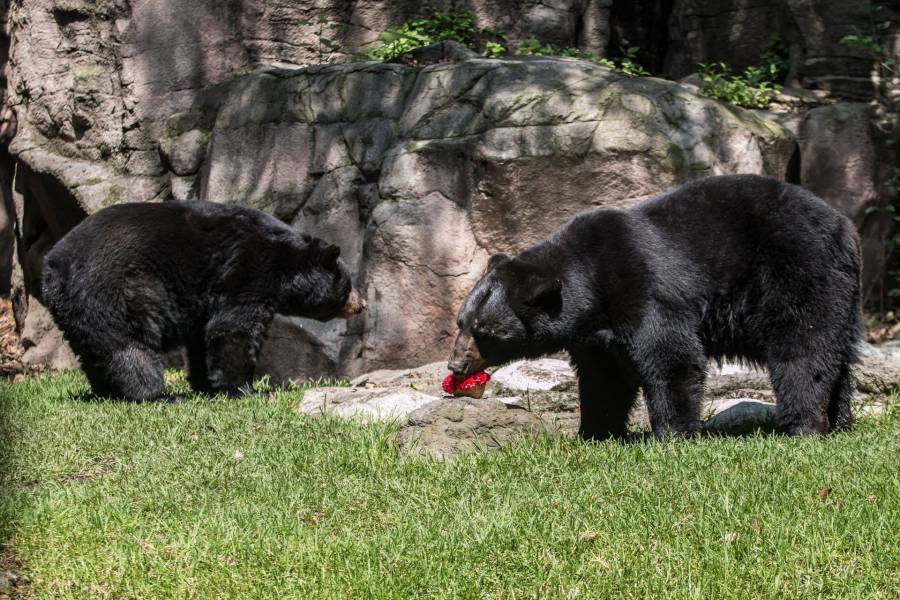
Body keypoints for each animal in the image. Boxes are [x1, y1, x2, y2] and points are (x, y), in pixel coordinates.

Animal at [42, 199, 366, 400]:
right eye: (348, 284)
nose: (361, 304)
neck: (284, 261)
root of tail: (51, 269)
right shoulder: (248, 269)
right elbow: (235, 328)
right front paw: (246, 389)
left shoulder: (205, 296)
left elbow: (203, 335)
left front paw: (206, 384)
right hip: (112, 292)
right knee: (129, 347)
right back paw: (156, 395)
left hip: (77, 310)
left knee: (95, 351)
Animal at [446, 176, 860, 438]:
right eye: (461, 322)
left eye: (484, 331)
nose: (455, 365)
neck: (591, 284)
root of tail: (846, 227)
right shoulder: (596, 336)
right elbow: (604, 377)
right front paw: (595, 431)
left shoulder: (644, 287)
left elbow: (670, 355)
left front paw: (672, 433)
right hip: (841, 295)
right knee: (838, 356)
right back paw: (839, 421)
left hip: (798, 272)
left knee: (803, 348)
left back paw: (803, 424)